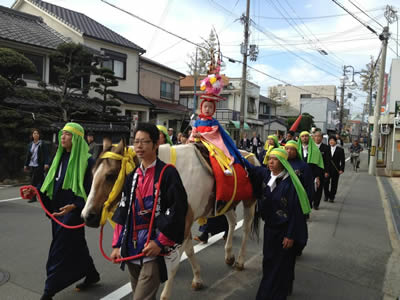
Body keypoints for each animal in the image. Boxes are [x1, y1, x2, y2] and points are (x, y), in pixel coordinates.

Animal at [83, 141, 260, 300]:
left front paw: (166, 295)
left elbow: (174, 264)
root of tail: (250, 155)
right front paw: (197, 279)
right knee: (233, 221)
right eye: (92, 173)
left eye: (110, 175)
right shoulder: (181, 224)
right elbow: (189, 251)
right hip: (227, 204)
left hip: (249, 202)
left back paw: (240, 261)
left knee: (245, 228)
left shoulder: (182, 223)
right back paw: (229, 255)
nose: (87, 216)